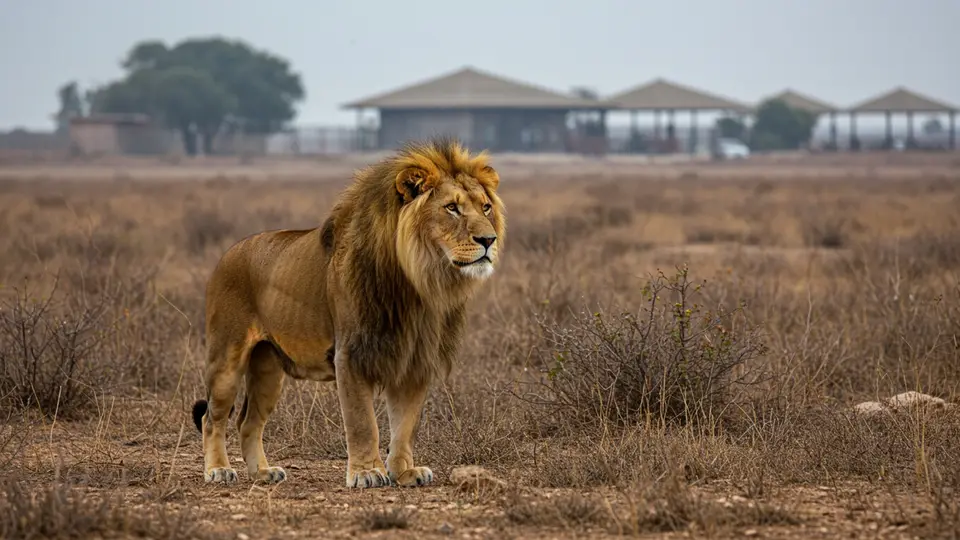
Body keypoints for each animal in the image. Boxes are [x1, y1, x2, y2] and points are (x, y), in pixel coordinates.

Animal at [190, 137, 506, 489]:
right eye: (451, 208)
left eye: (486, 207)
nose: (489, 240)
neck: (419, 283)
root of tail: (228, 253)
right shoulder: (352, 355)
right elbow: (363, 422)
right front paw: (367, 472)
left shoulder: (414, 360)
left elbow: (405, 425)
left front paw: (404, 472)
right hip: (226, 359)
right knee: (212, 418)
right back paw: (218, 470)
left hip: (268, 368)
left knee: (249, 421)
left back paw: (262, 472)